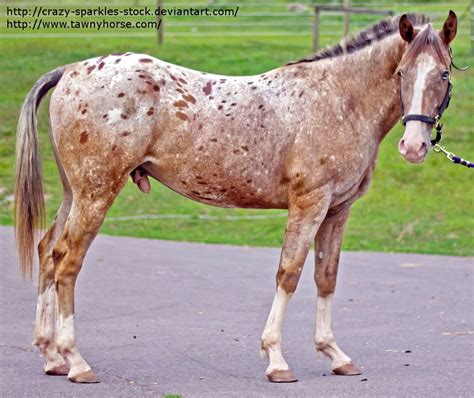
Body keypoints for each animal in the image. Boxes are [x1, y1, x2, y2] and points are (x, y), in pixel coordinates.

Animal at [13, 11, 460, 382]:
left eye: (443, 75)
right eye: (401, 72)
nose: (414, 146)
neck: (338, 99)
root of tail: (71, 71)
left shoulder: (337, 211)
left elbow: (326, 277)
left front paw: (335, 354)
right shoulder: (309, 204)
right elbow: (289, 274)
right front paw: (276, 359)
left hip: (75, 193)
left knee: (49, 251)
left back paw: (52, 357)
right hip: (96, 193)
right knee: (68, 260)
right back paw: (76, 361)